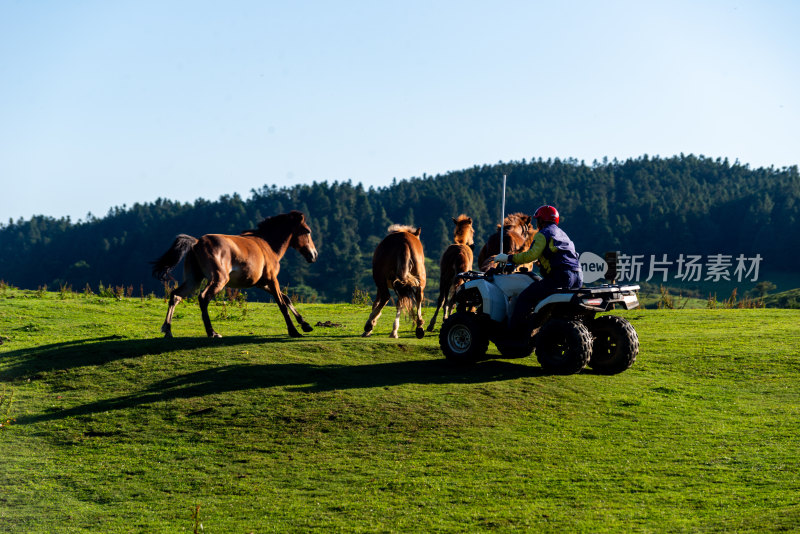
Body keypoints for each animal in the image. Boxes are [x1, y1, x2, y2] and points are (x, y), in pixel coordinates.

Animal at [152, 210, 318, 340]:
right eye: (307, 231)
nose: (314, 255)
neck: (267, 245)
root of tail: (197, 242)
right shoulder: (272, 280)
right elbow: (282, 304)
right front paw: (294, 331)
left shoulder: (262, 283)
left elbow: (286, 298)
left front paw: (305, 325)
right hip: (219, 280)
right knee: (203, 298)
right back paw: (212, 333)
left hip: (194, 280)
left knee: (176, 296)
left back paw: (167, 330)